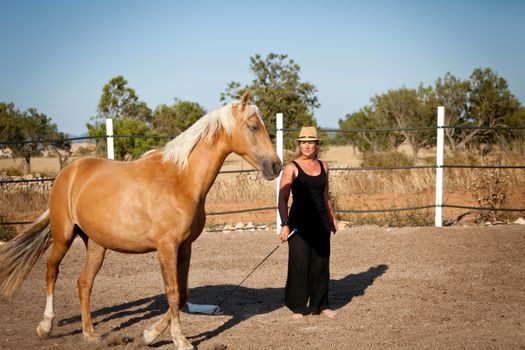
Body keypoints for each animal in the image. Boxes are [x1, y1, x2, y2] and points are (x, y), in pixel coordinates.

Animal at [0, 91, 282, 350]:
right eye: (253, 126)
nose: (276, 166)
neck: (181, 180)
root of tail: (69, 172)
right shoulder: (166, 247)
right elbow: (173, 292)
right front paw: (180, 340)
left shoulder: (185, 247)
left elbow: (183, 294)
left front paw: (149, 335)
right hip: (63, 236)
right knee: (52, 271)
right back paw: (45, 326)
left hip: (96, 245)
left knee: (83, 283)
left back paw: (91, 335)